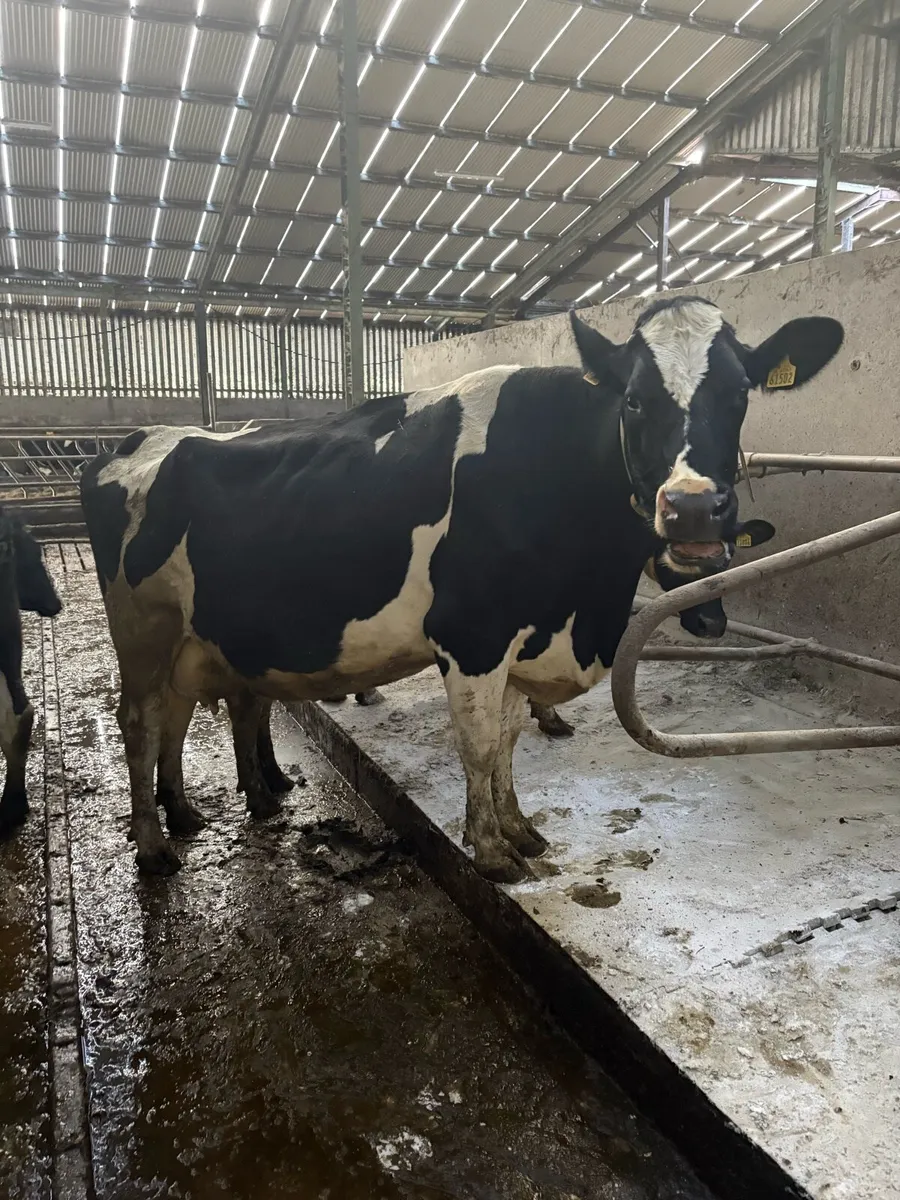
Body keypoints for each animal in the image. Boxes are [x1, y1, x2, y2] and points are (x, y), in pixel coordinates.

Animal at [79, 297, 842, 883]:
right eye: (632, 399)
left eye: (741, 394)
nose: (691, 510)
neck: (584, 604)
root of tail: (135, 439)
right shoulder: (472, 635)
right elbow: (477, 745)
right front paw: (493, 853)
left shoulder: (523, 638)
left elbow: (505, 740)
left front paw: (520, 829)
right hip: (142, 630)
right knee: (140, 722)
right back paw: (153, 847)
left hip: (190, 638)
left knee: (178, 715)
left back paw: (185, 814)